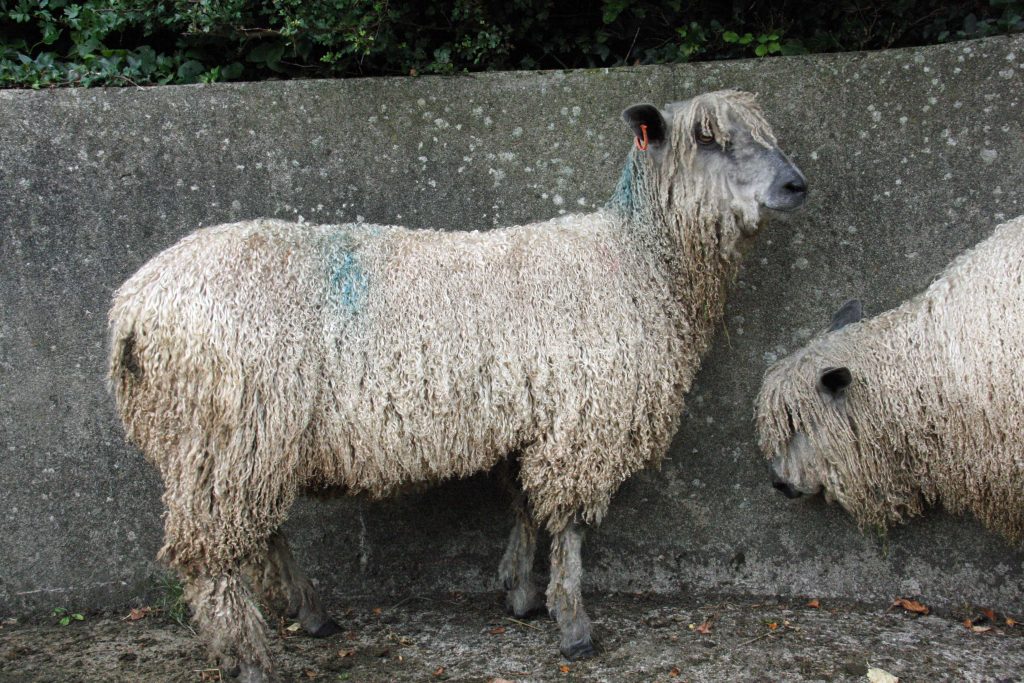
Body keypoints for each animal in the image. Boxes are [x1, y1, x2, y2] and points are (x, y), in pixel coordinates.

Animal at [108, 90, 806, 682]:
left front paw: (521, 595)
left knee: (256, 533)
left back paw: (310, 613)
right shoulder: (580, 423)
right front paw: (574, 625)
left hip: (240, 443)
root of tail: (131, 309)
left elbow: (525, 509)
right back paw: (249, 658)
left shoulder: (531, 420)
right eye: (708, 139)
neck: (639, 261)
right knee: (210, 557)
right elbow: (568, 528)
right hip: (226, 432)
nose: (796, 184)